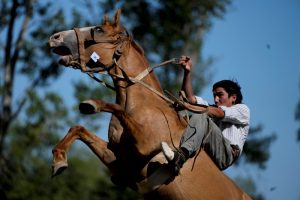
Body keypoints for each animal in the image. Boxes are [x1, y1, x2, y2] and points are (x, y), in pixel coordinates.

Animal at [48, 8, 251, 199]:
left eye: (98, 30)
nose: (55, 37)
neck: (148, 106)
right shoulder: (121, 162)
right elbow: (78, 129)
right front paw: (59, 161)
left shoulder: (144, 144)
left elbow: (119, 110)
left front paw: (91, 104)